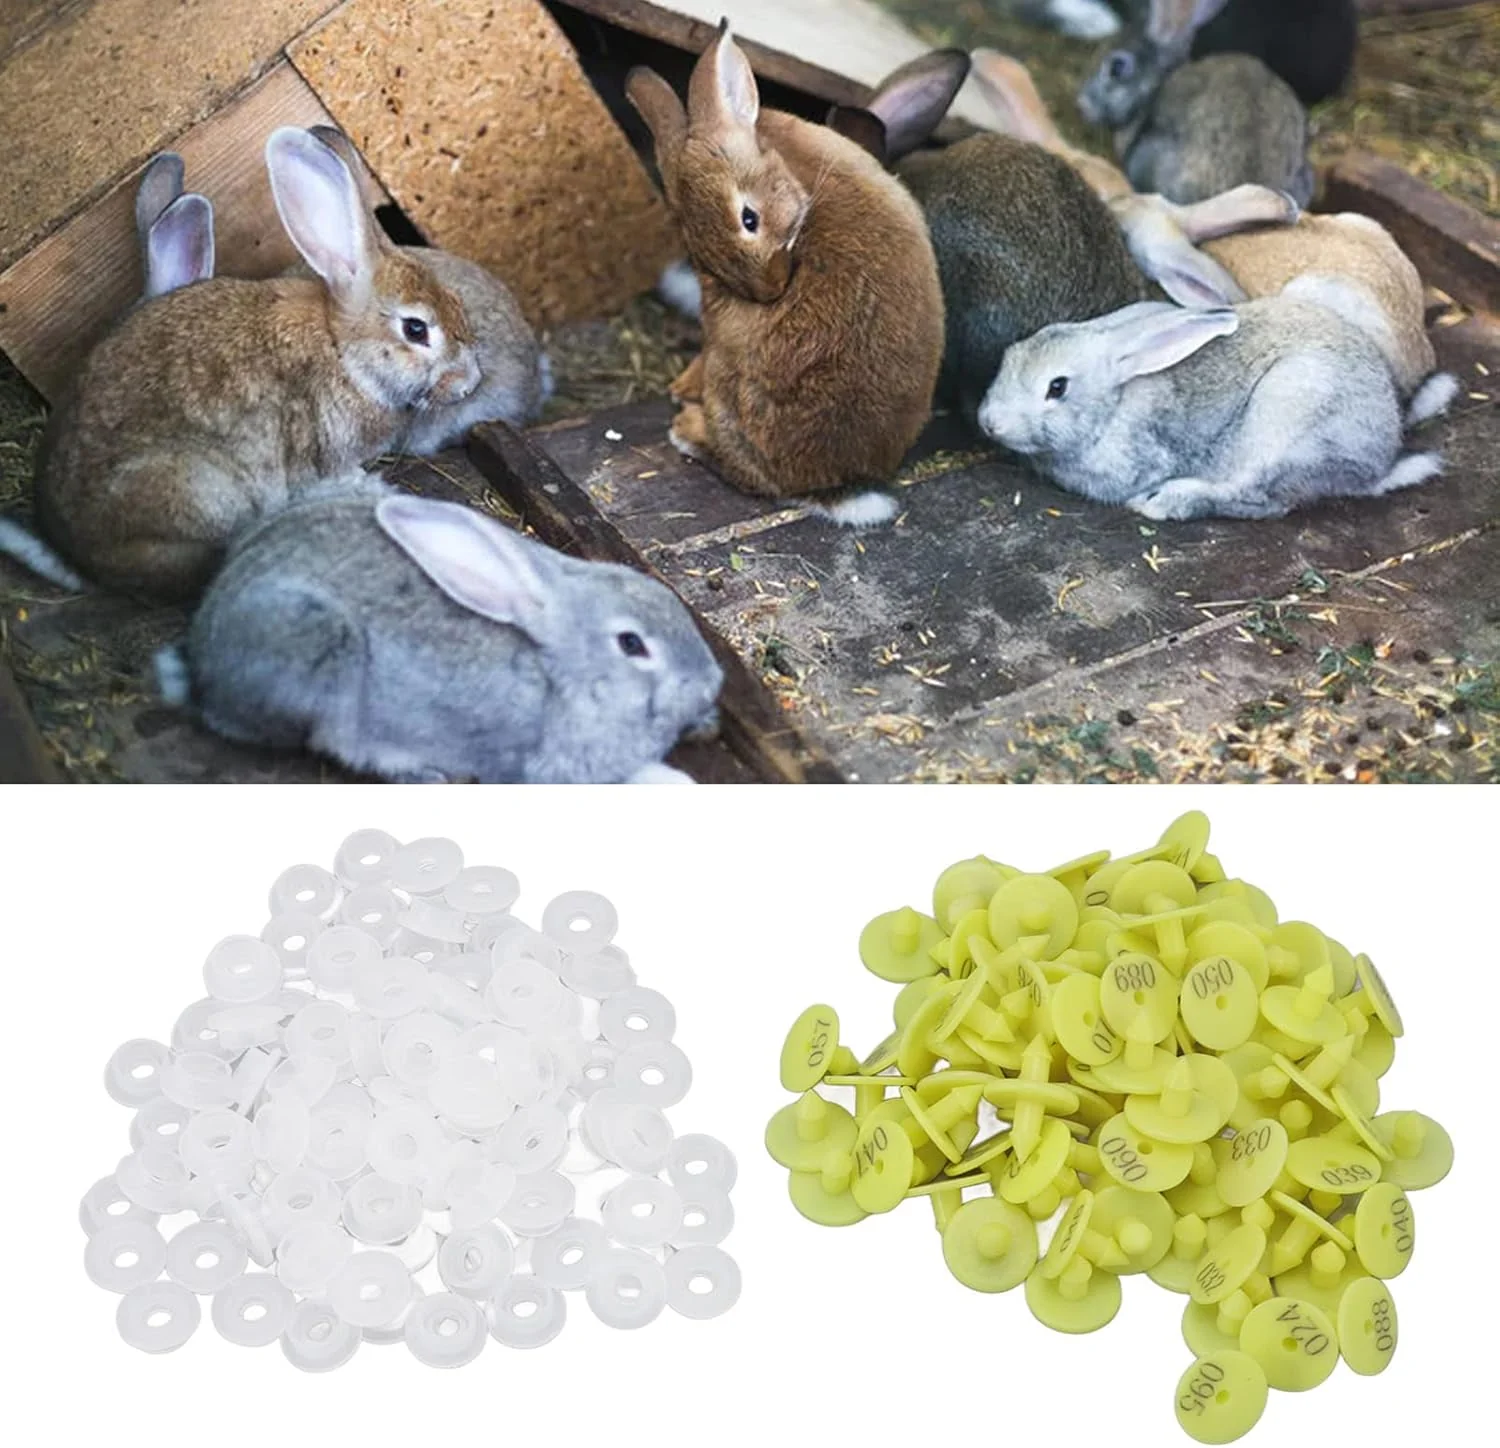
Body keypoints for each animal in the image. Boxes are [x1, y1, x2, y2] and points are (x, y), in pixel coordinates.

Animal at [3, 127, 482, 602]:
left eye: (459, 305)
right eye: (416, 329)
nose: (470, 383)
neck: (341, 348)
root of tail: (86, 564)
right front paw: (371, 488)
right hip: (199, 491)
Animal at [165, 478, 725, 784]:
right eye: (632, 644)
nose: (711, 681)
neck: (559, 676)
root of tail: (202, 645)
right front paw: (673, 781)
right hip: (317, 647)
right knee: (333, 739)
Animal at [975, 296, 1446, 521]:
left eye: (1057, 387)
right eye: (1009, 355)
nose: (989, 423)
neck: (1113, 405)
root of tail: (1378, 463)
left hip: (1286, 412)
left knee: (1258, 497)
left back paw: (1167, 502)